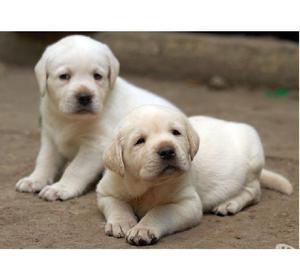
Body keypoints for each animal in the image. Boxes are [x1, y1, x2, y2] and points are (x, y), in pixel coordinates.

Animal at [15, 34, 177, 200]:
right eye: (64, 76)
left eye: (97, 76)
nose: (84, 97)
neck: (70, 119)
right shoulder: (51, 138)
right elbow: (45, 160)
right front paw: (35, 179)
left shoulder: (95, 145)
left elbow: (76, 168)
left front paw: (61, 188)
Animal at [96, 104, 292, 245]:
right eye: (139, 141)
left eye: (176, 132)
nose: (167, 151)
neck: (148, 184)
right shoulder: (106, 191)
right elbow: (116, 204)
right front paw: (121, 222)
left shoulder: (188, 203)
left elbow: (160, 211)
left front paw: (143, 228)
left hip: (253, 159)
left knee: (253, 192)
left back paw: (229, 203)